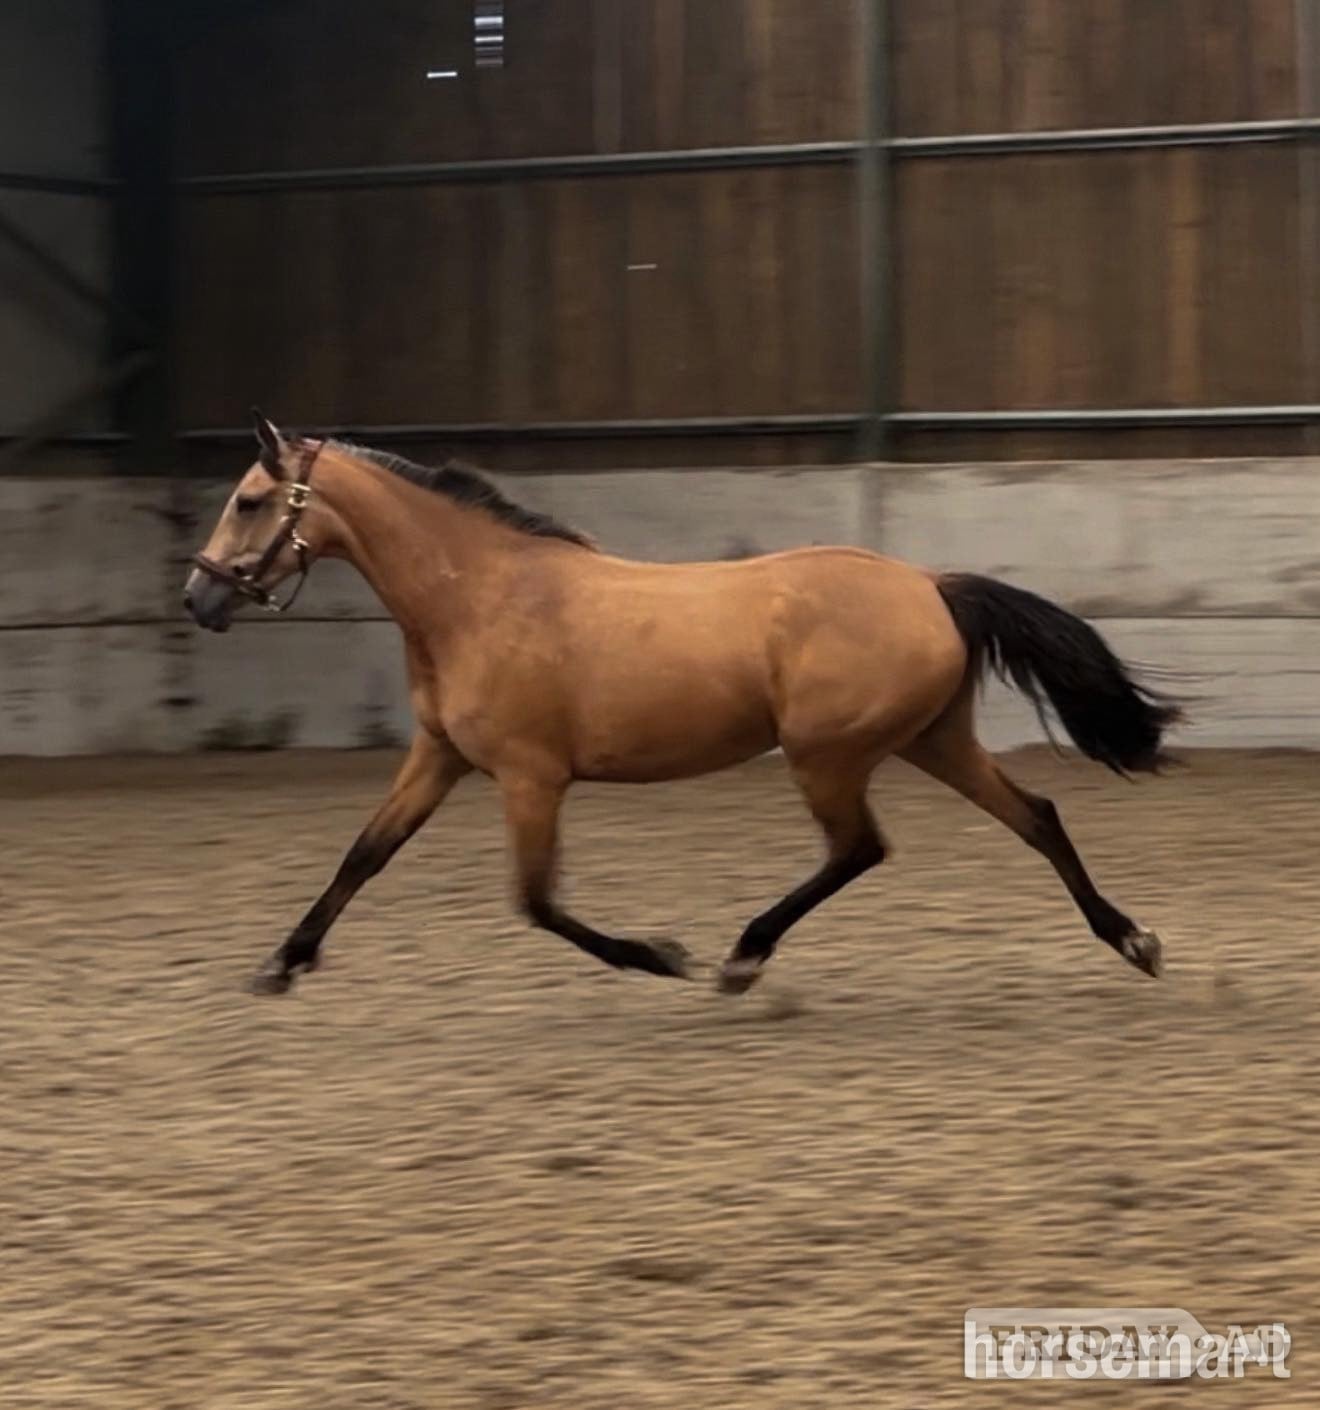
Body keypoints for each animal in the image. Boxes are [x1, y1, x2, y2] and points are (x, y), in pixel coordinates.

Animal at [184, 410, 1183, 997]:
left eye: (250, 500)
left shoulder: (530, 777)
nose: (197, 600)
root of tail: (931, 585)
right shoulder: (441, 754)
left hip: (828, 755)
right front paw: (282, 961)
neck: (480, 596)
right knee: (1035, 816)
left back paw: (742, 955)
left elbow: (535, 900)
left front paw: (659, 955)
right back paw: (1133, 941)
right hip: (928, 738)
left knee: (860, 847)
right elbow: (365, 854)